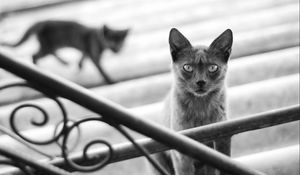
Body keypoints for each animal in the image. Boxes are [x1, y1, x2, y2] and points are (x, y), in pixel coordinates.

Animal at [0, 20, 129, 83]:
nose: (117, 49)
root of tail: (41, 22)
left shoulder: (87, 51)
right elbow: (102, 70)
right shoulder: (94, 56)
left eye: (121, 42)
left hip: (52, 46)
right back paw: (40, 68)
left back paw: (64, 62)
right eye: (110, 40)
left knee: (48, 53)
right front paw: (110, 81)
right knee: (34, 55)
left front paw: (79, 65)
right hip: (47, 46)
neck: (98, 38)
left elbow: (83, 57)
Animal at [151, 28, 233, 174]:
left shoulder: (223, 139)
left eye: (213, 68)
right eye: (188, 67)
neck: (201, 109)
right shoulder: (181, 155)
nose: (200, 82)